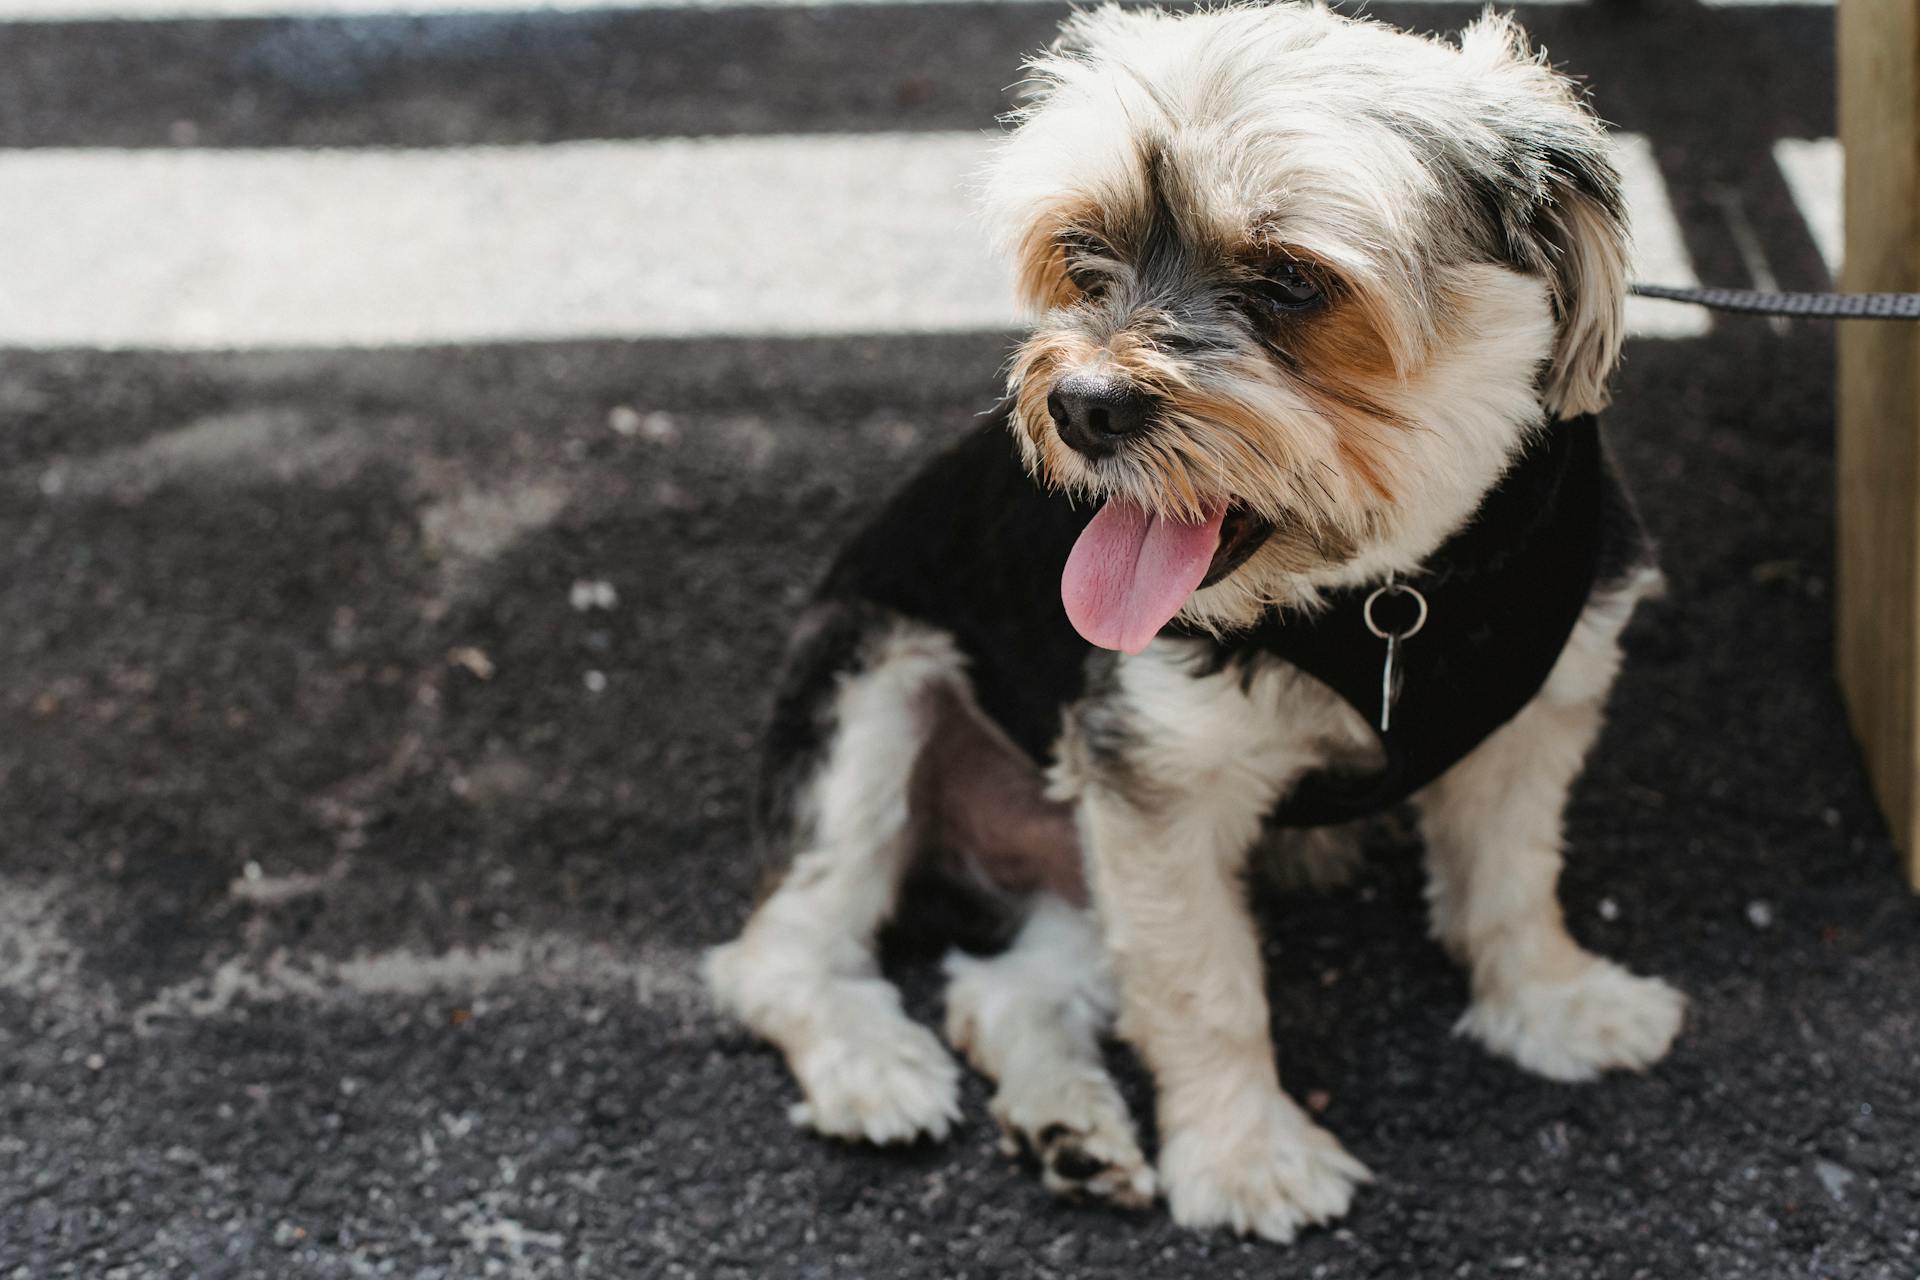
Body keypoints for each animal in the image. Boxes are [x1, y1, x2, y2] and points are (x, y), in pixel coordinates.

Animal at [706, 0, 1681, 1243]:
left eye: (1292, 281)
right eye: (1082, 253)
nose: (1082, 404)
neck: (1387, 589)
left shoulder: (1532, 717)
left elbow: (1512, 877)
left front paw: (1552, 1002)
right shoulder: (1158, 778)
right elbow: (1203, 986)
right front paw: (1248, 1154)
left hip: (1073, 853)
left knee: (999, 988)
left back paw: (1070, 1130)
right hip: (867, 691)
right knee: (782, 951)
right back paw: (872, 1066)